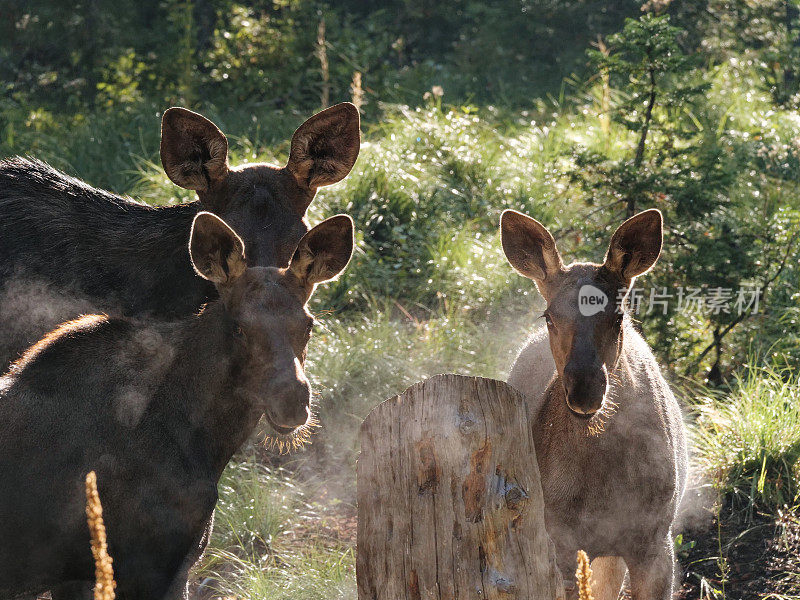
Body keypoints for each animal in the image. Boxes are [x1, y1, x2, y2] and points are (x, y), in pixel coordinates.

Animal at [0, 211, 354, 600]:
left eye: (308, 324)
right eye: (239, 328)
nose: (291, 399)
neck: (202, 439)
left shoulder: (83, 574)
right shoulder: (151, 568)